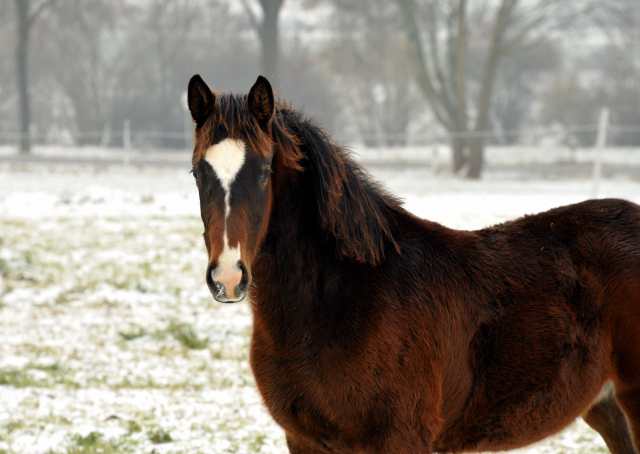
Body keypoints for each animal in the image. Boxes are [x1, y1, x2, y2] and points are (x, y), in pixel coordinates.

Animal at [185, 74, 640, 454]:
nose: (228, 277)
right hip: (607, 408)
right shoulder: (305, 440)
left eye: (264, 171)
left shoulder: (400, 437)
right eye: (196, 172)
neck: (336, 303)